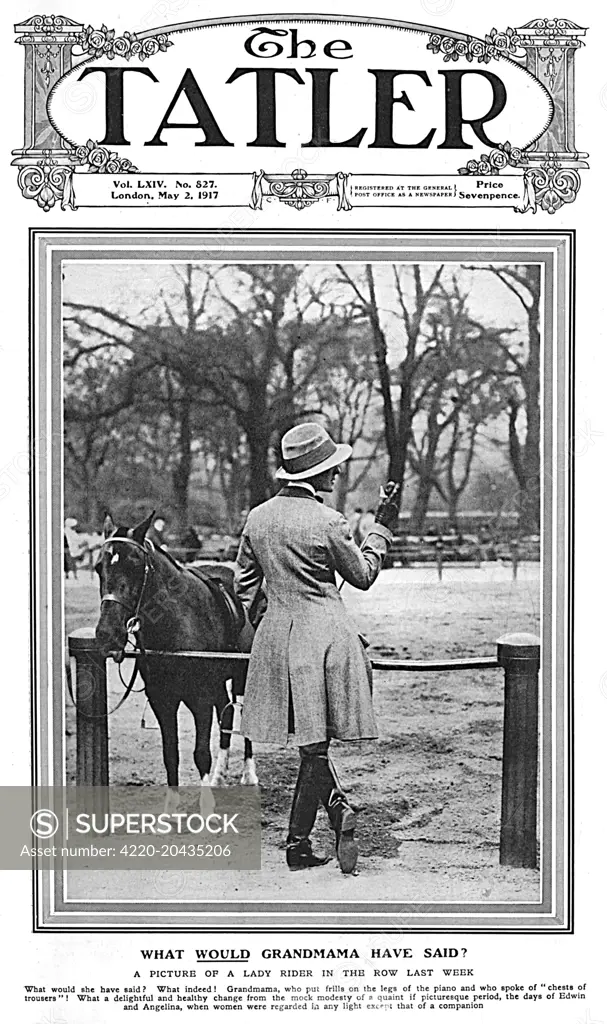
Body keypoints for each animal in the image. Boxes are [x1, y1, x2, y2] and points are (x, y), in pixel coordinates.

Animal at [94, 512, 257, 806]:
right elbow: (170, 753)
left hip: (244, 675)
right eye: (99, 567)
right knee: (226, 714)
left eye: (135, 566)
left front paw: (206, 807)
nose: (107, 634)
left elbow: (200, 753)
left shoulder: (200, 698)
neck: (178, 623)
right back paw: (220, 775)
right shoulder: (163, 700)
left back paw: (249, 774)